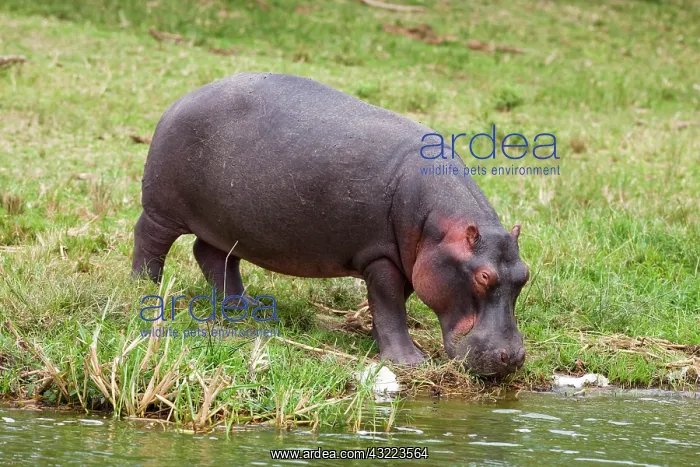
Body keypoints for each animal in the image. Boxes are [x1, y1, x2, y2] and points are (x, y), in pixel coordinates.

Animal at [132, 72, 529, 377]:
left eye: (524, 275)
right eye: (483, 277)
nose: (513, 358)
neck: (441, 226)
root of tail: (183, 98)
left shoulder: (408, 260)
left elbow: (392, 304)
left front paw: (374, 338)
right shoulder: (380, 256)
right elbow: (389, 304)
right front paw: (410, 362)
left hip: (229, 226)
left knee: (212, 255)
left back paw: (245, 309)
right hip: (163, 208)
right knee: (149, 238)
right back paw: (145, 286)